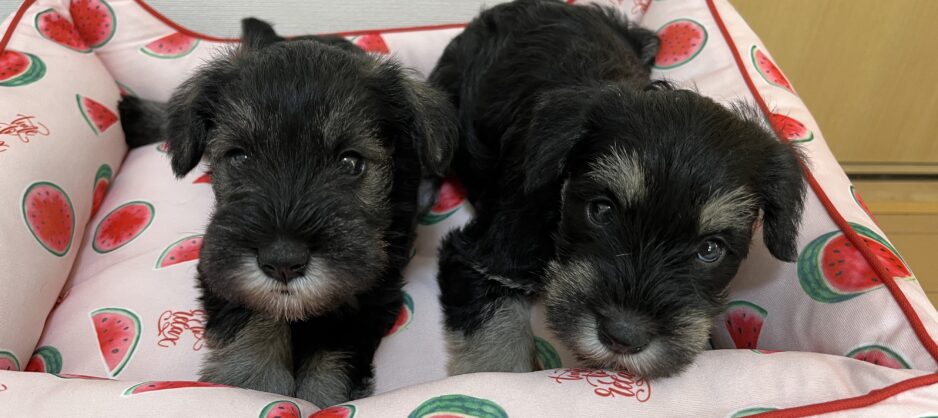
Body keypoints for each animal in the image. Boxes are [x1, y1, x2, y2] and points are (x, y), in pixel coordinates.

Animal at [119, 18, 456, 405]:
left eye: (351, 161)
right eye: (239, 156)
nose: (283, 261)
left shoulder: (370, 292)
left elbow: (332, 360)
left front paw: (318, 400)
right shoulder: (218, 265)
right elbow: (254, 316)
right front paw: (251, 384)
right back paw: (139, 116)